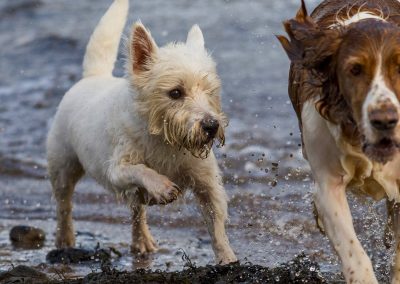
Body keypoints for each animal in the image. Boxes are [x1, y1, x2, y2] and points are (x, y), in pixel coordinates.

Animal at [45, 0, 236, 264]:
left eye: (210, 91)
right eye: (175, 92)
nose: (211, 126)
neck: (166, 140)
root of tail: (92, 76)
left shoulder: (206, 181)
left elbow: (216, 223)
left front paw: (228, 259)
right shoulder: (116, 168)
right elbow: (141, 170)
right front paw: (162, 187)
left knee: (137, 211)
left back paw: (142, 241)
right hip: (63, 164)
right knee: (64, 204)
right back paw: (65, 239)